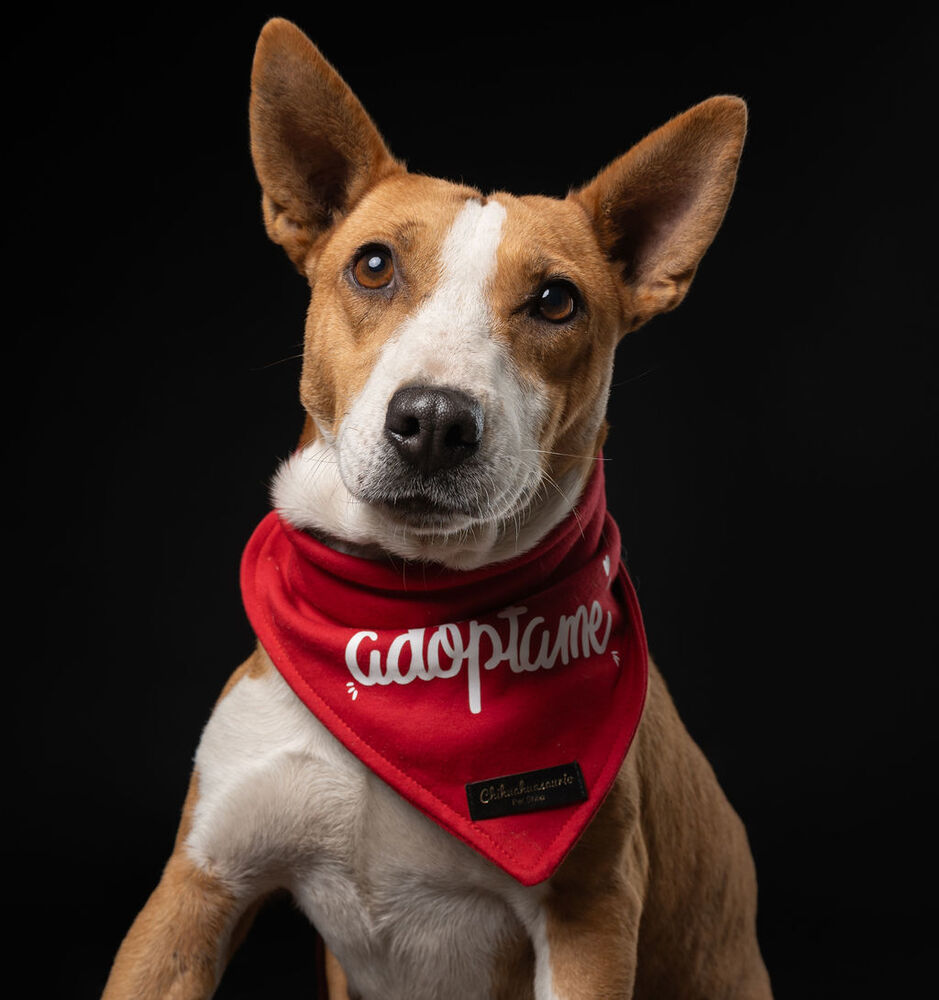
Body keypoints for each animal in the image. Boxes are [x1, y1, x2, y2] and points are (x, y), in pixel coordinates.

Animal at [103, 17, 776, 1000]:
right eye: (373, 265)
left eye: (555, 300)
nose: (432, 422)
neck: (408, 614)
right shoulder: (194, 891)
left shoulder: (588, 921)